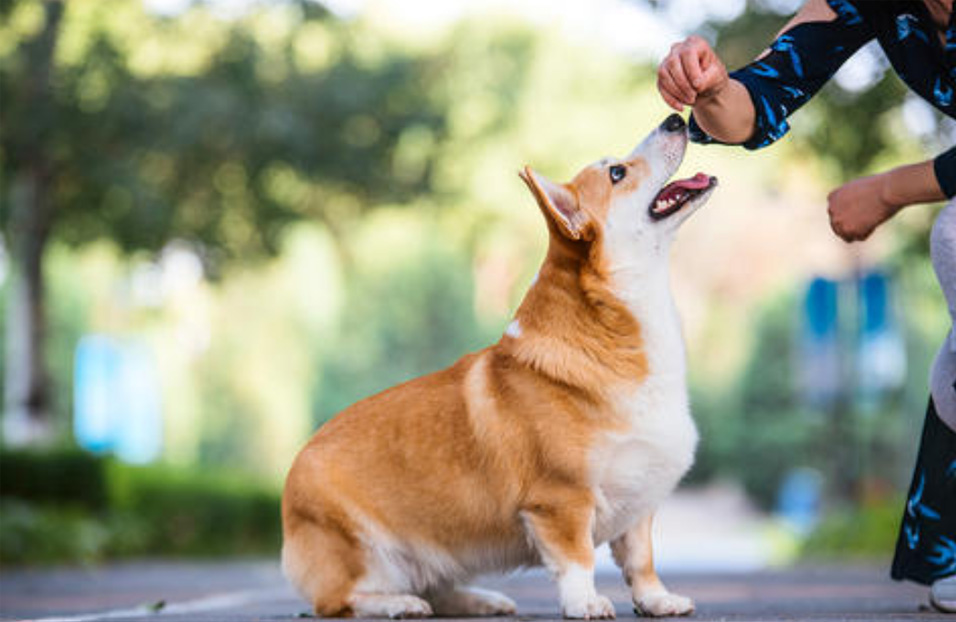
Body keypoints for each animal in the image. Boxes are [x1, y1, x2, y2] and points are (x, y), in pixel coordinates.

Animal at [280, 114, 712, 620]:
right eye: (616, 173)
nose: (675, 119)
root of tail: (290, 484)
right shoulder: (561, 502)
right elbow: (578, 560)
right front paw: (585, 602)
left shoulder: (639, 503)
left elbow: (641, 561)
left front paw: (657, 600)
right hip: (365, 552)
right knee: (339, 601)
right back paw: (398, 603)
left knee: (436, 589)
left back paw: (481, 600)